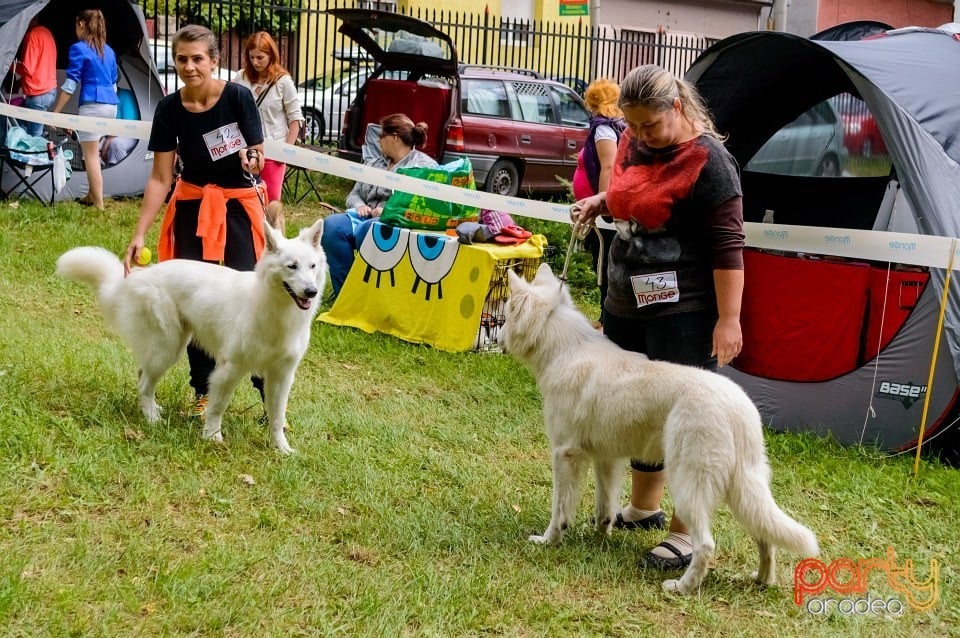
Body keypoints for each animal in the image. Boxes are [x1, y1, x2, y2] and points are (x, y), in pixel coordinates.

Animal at [502, 264, 816, 596]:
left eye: (506, 315)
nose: (496, 337)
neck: (565, 350)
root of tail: (738, 408)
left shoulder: (565, 455)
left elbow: (559, 508)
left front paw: (548, 540)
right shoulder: (606, 460)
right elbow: (604, 506)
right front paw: (600, 538)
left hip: (687, 483)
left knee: (706, 545)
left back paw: (682, 587)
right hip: (743, 489)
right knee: (764, 535)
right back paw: (761, 580)